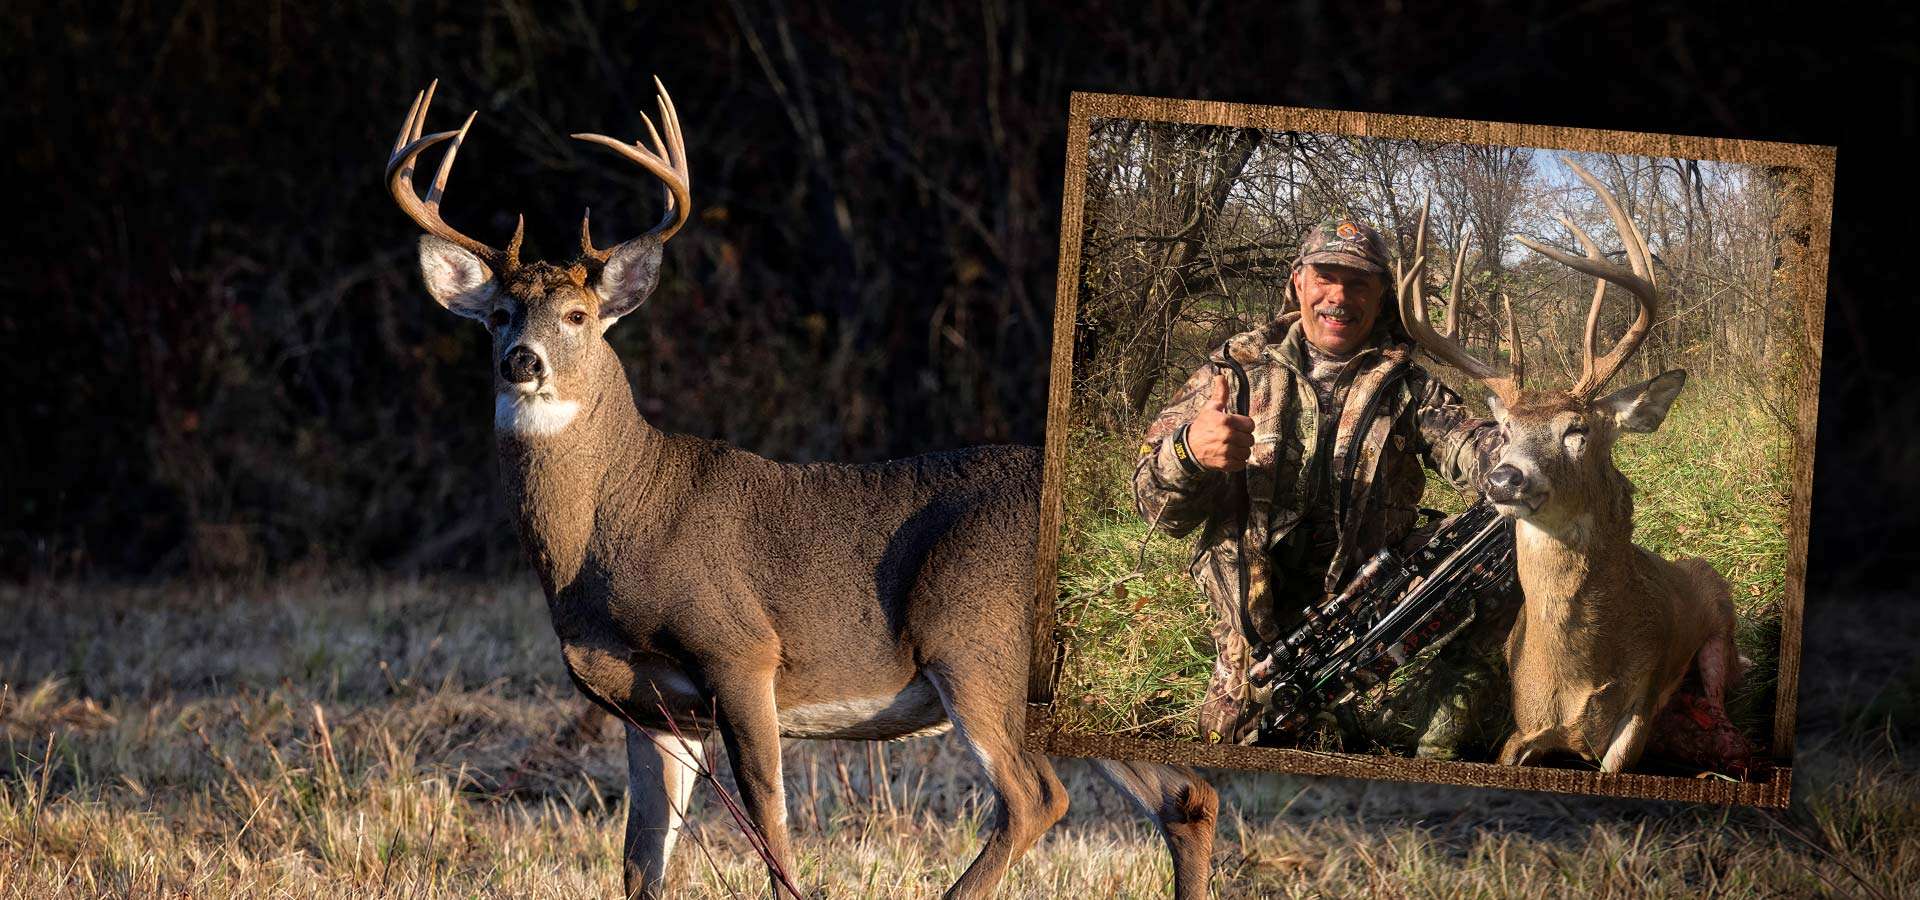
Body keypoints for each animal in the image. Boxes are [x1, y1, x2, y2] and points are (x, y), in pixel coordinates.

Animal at [383, 79, 1217, 899]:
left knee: (1037, 797)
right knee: (1188, 796)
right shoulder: (650, 707)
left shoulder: (741, 649)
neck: (607, 532)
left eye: (579, 315)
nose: (521, 361)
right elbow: (642, 858)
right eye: (498, 314)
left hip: (974, 636)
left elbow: (773, 833)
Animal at [1394, 158, 1742, 775]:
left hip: (1720, 619)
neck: (1574, 681)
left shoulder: (1640, 708)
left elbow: (1617, 756)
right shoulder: (1522, 727)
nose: (1503, 478)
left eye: (1577, 431)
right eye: (1505, 432)